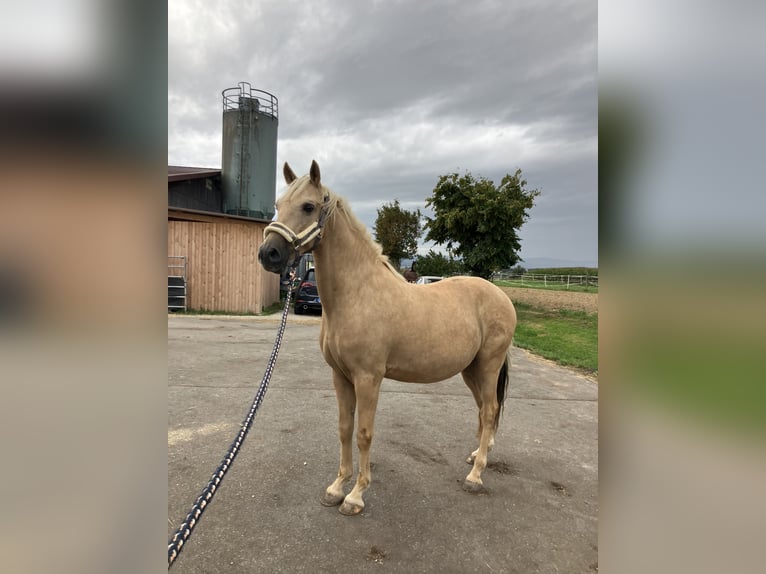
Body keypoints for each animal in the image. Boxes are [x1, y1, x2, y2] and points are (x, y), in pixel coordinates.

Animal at [258, 161, 517, 515]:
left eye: (308, 206)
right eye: (278, 205)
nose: (268, 253)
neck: (357, 294)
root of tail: (501, 296)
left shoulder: (368, 378)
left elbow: (364, 433)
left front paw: (355, 496)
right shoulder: (341, 376)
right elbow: (344, 429)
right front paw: (337, 487)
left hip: (489, 366)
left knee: (490, 410)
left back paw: (475, 476)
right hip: (472, 370)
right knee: (483, 410)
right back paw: (478, 455)